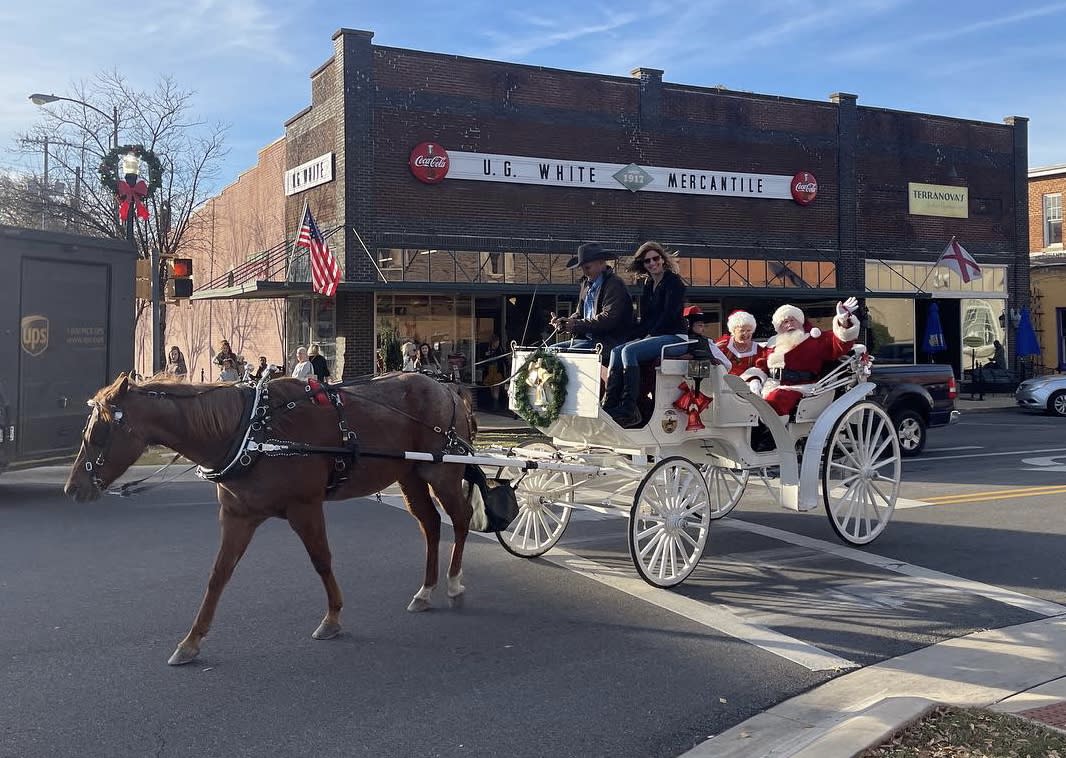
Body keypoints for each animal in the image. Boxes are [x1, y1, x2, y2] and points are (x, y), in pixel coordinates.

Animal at [66, 373, 479, 665]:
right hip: (411, 475)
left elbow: (322, 561)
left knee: (460, 518)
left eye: (100, 431)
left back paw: (454, 583)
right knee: (430, 524)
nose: (73, 488)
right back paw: (425, 590)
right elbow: (218, 575)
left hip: (442, 473)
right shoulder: (238, 515)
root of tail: (446, 388)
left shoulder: (305, 507)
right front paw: (191, 641)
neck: (252, 433)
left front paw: (332, 618)